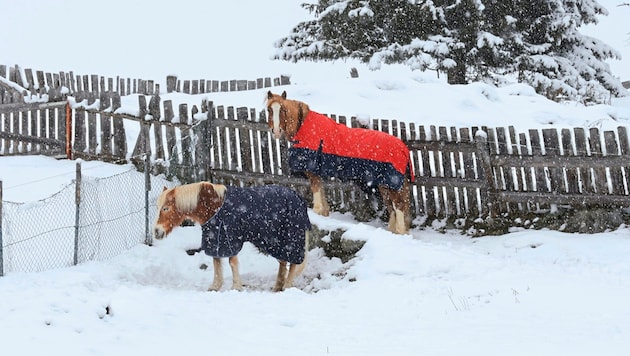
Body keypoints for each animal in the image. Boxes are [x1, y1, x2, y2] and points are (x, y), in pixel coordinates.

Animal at [153, 182, 312, 290]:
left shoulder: (229, 237)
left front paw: (236, 287)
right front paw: (215, 286)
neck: (213, 205)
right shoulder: (215, 238)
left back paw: (287, 286)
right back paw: (277, 287)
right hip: (275, 240)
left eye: (166, 208)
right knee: (283, 261)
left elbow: (232, 262)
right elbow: (216, 262)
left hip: (291, 237)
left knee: (293, 262)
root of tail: (298, 198)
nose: (156, 231)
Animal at [266, 89, 414, 234]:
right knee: (391, 207)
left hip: (391, 184)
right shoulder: (318, 173)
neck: (304, 126)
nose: (276, 131)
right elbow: (322, 193)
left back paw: (399, 231)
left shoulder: (312, 172)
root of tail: (404, 149)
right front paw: (324, 214)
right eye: (269, 110)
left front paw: (317, 212)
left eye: (283, 109)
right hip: (384, 185)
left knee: (399, 206)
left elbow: (317, 196)